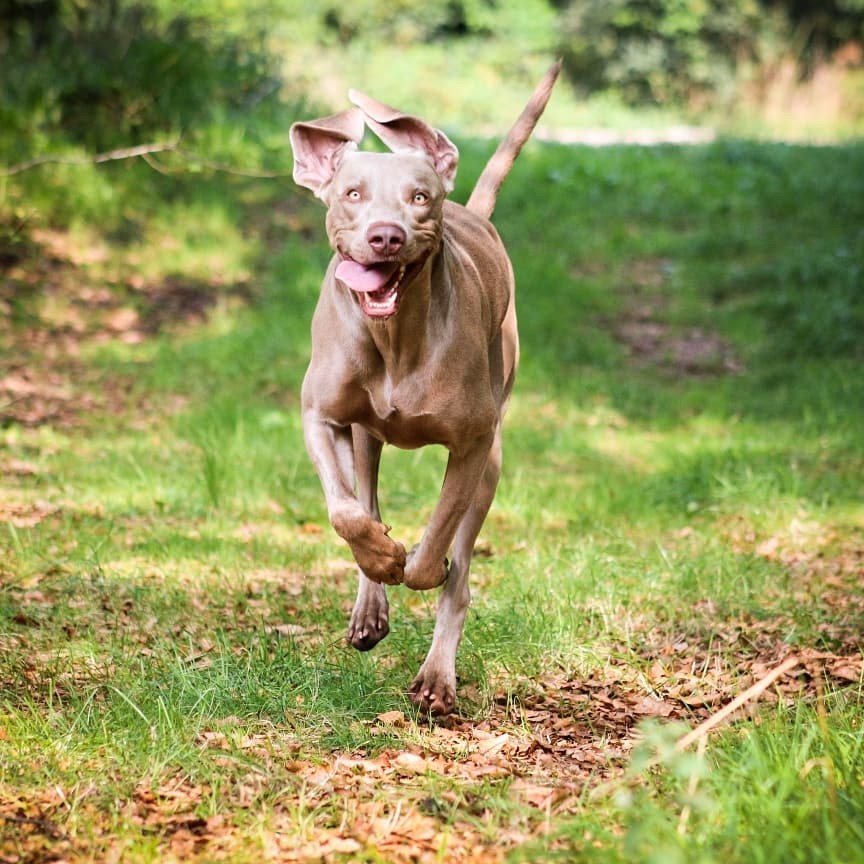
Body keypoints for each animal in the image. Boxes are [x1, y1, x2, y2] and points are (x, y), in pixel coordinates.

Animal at [290, 62, 560, 716]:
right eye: (352, 194)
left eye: (419, 198)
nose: (386, 237)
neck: (395, 338)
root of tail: (474, 210)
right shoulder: (320, 416)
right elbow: (346, 512)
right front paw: (383, 555)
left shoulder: (472, 445)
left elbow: (438, 544)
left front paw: (418, 564)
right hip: (366, 436)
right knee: (366, 494)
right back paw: (371, 598)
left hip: (492, 458)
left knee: (459, 571)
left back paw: (437, 676)